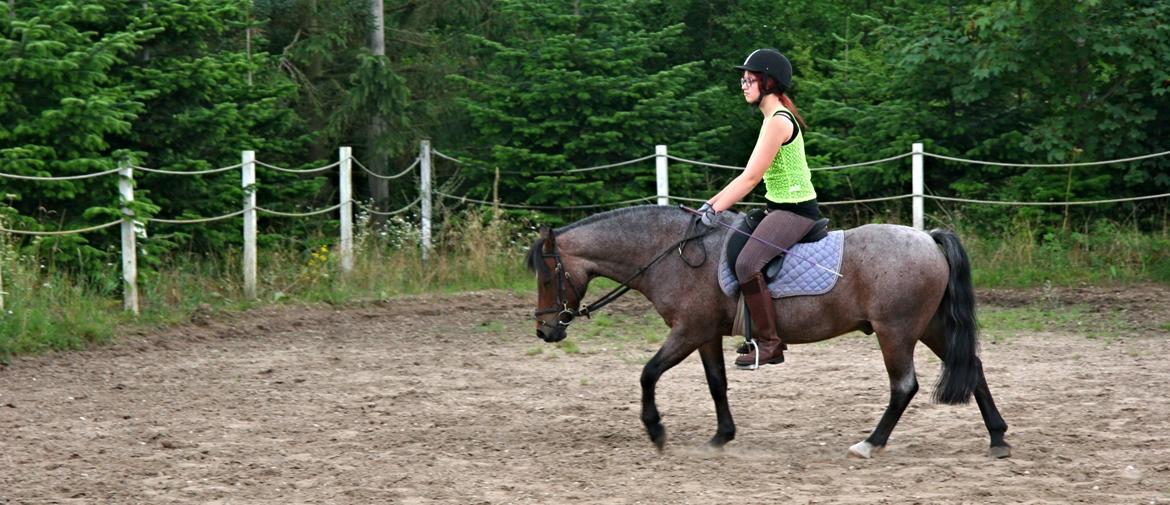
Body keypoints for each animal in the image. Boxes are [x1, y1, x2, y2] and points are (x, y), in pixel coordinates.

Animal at [526, 204, 1010, 458]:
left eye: (548, 277)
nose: (546, 331)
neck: (672, 255)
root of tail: (928, 238)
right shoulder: (706, 335)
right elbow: (716, 383)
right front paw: (722, 435)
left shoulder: (688, 330)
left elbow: (647, 373)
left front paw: (656, 431)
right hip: (929, 327)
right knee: (973, 368)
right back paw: (998, 437)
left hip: (896, 331)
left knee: (904, 386)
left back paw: (870, 443)